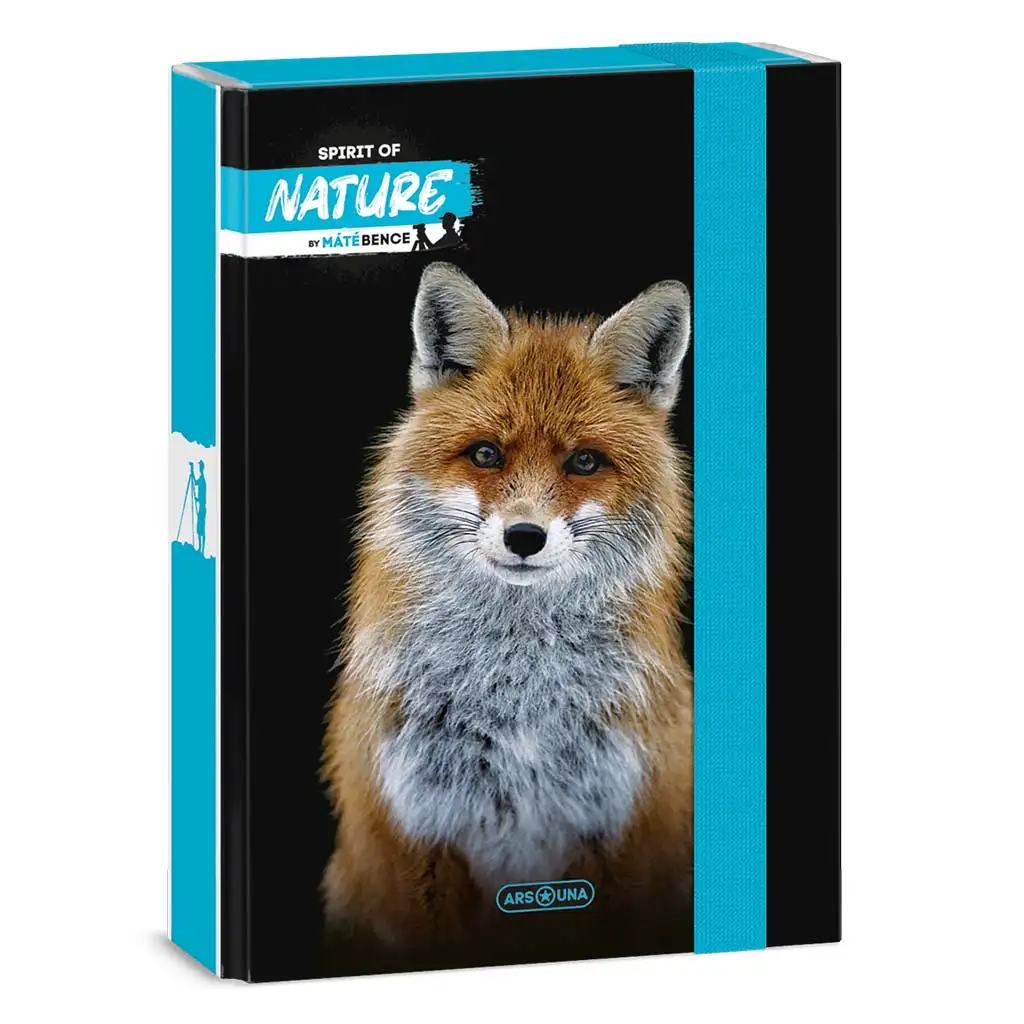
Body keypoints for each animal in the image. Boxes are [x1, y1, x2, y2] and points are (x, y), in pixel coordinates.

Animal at [322, 262, 693, 961]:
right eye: (486, 454)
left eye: (584, 461)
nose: (525, 537)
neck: (515, 699)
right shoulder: (415, 837)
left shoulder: (624, 832)